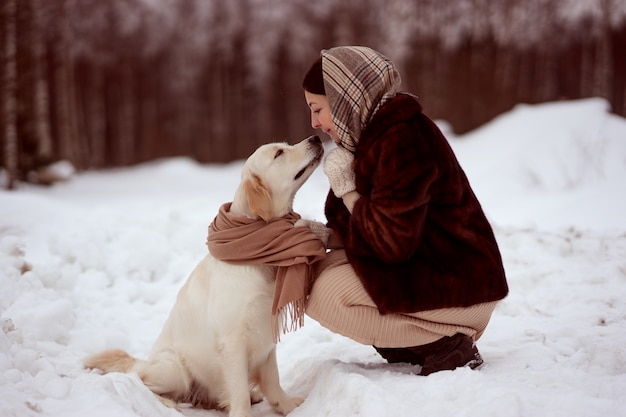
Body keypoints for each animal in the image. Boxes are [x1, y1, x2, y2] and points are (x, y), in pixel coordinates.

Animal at [84, 136, 324, 416]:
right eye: (279, 153)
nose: (315, 137)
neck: (258, 254)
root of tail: (145, 362)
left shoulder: (265, 331)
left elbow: (272, 379)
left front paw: (286, 405)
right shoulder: (233, 341)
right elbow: (239, 391)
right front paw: (244, 411)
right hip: (174, 369)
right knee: (142, 381)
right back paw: (168, 403)